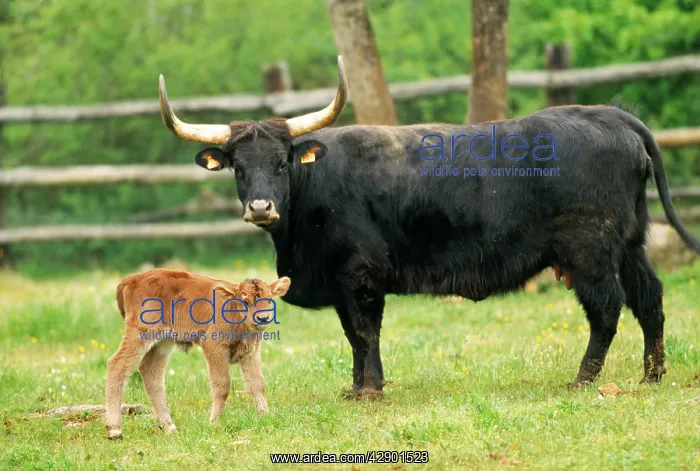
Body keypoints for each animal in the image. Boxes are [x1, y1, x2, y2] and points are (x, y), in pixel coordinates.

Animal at [105, 269, 290, 439]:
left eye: (269, 299)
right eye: (244, 300)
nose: (263, 318)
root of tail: (132, 279)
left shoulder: (251, 352)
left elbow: (257, 383)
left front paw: (265, 416)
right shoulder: (214, 347)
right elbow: (222, 385)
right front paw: (215, 422)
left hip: (163, 341)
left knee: (151, 371)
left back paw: (169, 427)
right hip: (139, 333)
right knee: (117, 365)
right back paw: (115, 430)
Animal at [157, 56, 700, 399]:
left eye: (282, 161)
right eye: (238, 166)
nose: (261, 206)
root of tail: (613, 115)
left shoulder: (359, 275)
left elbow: (364, 332)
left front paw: (370, 389)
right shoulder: (340, 282)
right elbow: (353, 335)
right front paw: (356, 386)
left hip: (591, 249)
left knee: (607, 308)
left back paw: (584, 380)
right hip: (631, 243)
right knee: (649, 298)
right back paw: (652, 374)